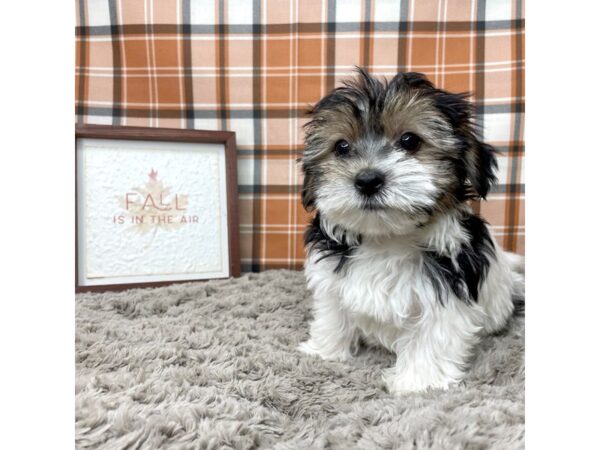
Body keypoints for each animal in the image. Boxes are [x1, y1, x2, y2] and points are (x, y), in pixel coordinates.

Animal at [298, 69, 524, 394]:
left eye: (409, 141)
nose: (367, 180)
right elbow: (333, 315)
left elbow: (432, 338)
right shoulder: (330, 282)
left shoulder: (446, 295)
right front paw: (325, 351)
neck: (387, 238)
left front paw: (419, 383)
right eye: (341, 147)